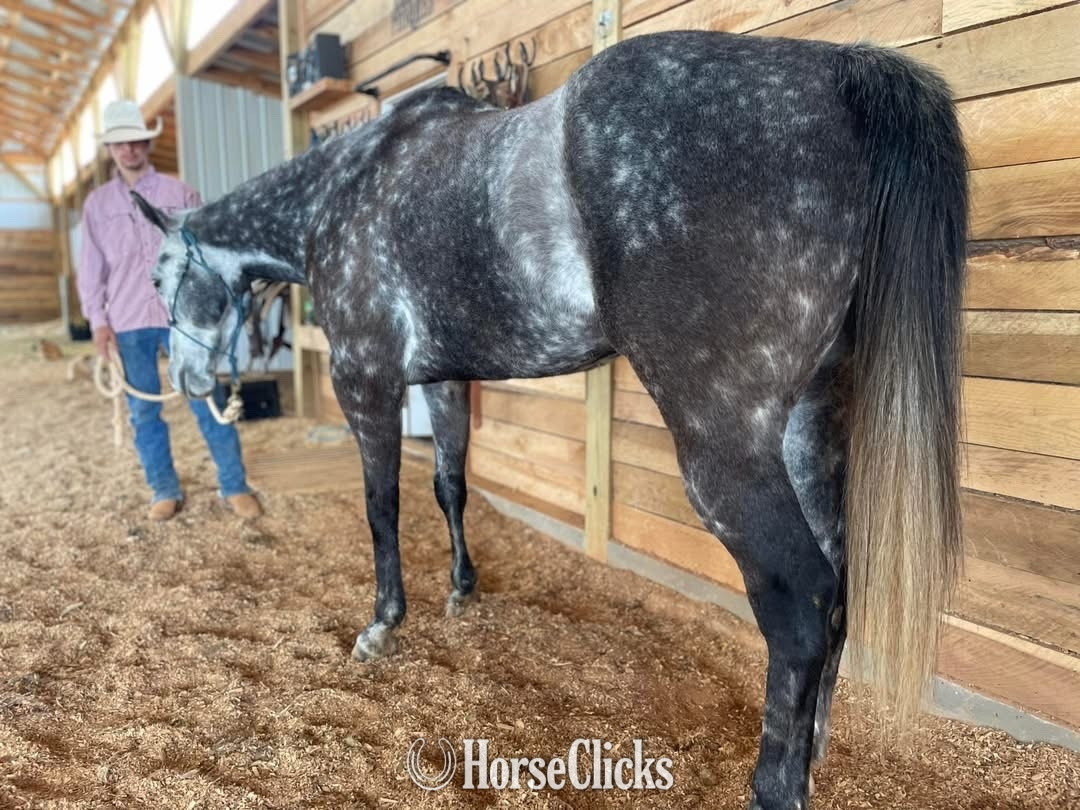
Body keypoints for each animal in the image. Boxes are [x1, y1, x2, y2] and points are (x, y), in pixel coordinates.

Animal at [133, 30, 968, 809]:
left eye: (160, 277)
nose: (189, 381)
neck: (344, 188)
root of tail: (836, 68)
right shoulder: (444, 382)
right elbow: (450, 486)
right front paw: (462, 589)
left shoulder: (364, 381)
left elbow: (381, 505)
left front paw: (382, 623)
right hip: (811, 422)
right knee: (838, 587)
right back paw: (813, 753)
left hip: (725, 443)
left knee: (800, 600)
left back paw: (774, 785)